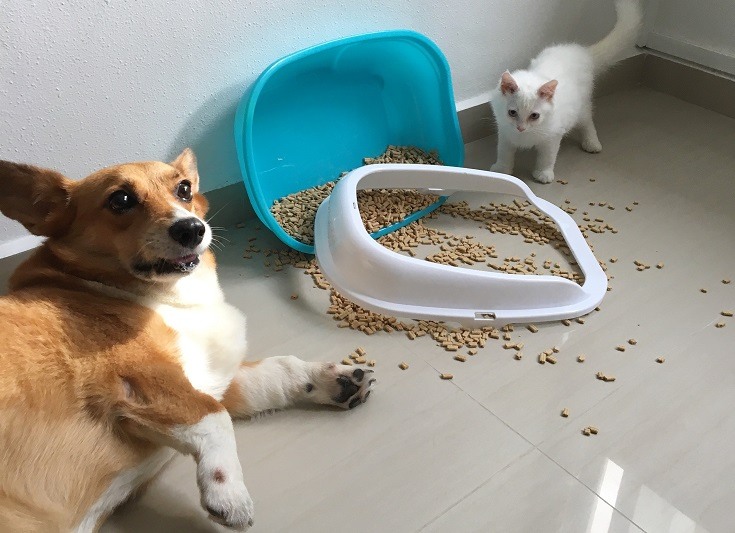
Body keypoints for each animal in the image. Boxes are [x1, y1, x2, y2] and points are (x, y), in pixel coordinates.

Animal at [0, 151, 370, 532]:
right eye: (121, 199)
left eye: (184, 189)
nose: (192, 229)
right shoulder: (148, 378)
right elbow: (216, 418)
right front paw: (228, 493)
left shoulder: (214, 379)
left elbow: (278, 370)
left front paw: (334, 379)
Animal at [488, 0, 644, 183]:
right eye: (512, 112)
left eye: (535, 116)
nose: (520, 128)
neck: (525, 136)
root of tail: (582, 51)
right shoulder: (504, 132)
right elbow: (504, 153)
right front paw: (501, 170)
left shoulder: (553, 136)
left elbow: (547, 157)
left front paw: (543, 173)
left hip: (581, 107)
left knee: (587, 122)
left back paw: (592, 143)